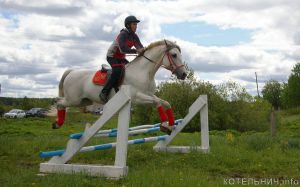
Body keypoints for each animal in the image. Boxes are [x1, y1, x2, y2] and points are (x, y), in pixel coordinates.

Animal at [52, 39, 186, 134]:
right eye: (174, 55)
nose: (183, 74)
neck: (143, 72)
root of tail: (71, 72)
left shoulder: (149, 94)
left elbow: (165, 103)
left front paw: (170, 125)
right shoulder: (137, 97)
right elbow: (157, 102)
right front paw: (164, 124)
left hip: (83, 101)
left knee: (61, 103)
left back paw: (57, 123)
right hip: (73, 99)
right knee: (59, 102)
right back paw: (57, 123)